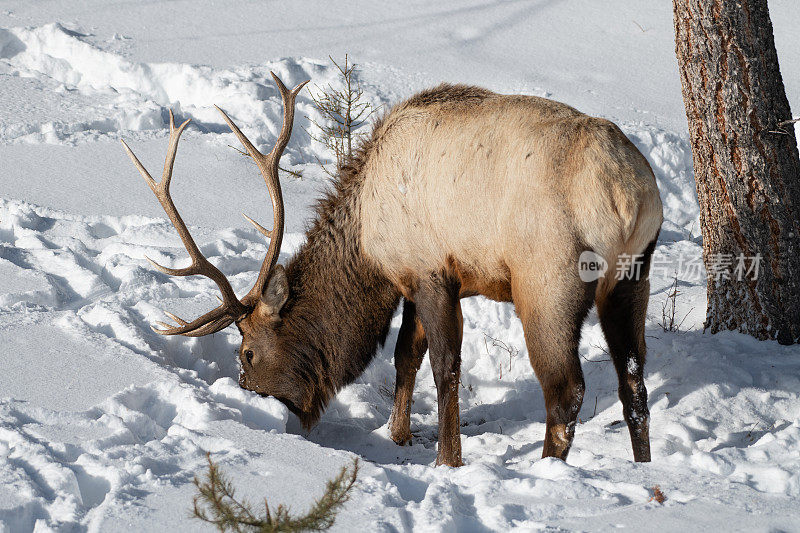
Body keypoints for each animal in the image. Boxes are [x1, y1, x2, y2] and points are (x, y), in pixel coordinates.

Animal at [122, 71, 664, 466]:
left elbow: (444, 368)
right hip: (633, 274)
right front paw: (397, 434)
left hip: (547, 278)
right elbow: (407, 355)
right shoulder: (422, 280)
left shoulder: (430, 272)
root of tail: (630, 194)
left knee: (566, 390)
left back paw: (548, 470)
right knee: (633, 378)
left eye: (249, 353)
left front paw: (447, 461)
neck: (368, 246)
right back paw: (643, 466)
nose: (265, 407)